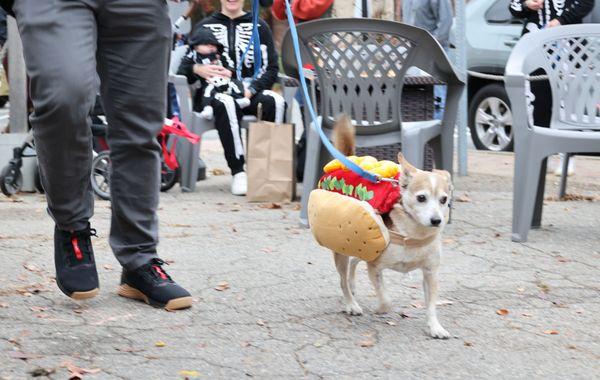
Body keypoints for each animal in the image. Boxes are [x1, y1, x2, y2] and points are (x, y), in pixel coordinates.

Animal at [330, 118, 452, 338]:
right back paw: (351, 304)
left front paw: (435, 327)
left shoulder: (430, 272)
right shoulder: (375, 266)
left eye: (444, 200)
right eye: (421, 198)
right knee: (343, 278)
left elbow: (431, 305)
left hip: (363, 245)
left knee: (354, 262)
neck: (413, 235)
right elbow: (386, 299)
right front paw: (379, 309)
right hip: (344, 249)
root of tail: (348, 161)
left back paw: (352, 287)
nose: (436, 220)